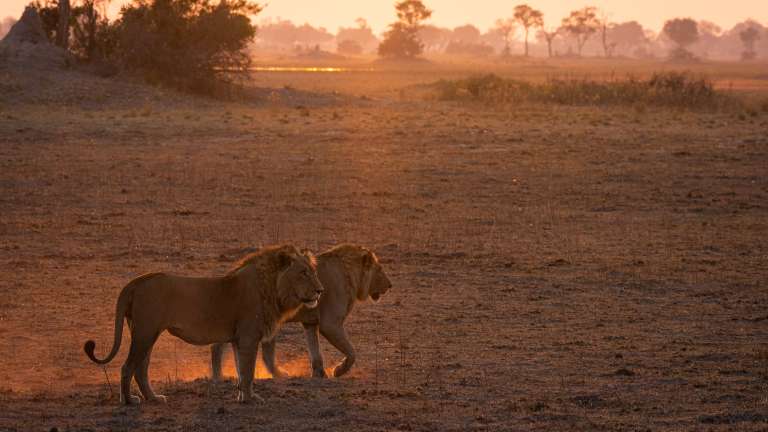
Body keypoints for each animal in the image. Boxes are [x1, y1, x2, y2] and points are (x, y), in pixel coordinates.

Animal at [84, 245, 323, 405]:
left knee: (141, 369)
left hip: (146, 333)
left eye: (313, 271)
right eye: (303, 273)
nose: (320, 290)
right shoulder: (248, 337)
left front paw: (243, 396)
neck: (273, 289)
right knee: (128, 367)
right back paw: (129, 401)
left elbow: (241, 370)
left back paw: (153, 398)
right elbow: (248, 370)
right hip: (145, 332)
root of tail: (137, 281)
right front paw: (251, 399)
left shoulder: (238, 339)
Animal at [211, 244, 392, 380]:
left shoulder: (310, 323)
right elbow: (351, 351)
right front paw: (338, 371)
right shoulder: (330, 323)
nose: (390, 285)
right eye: (380, 269)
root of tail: (232, 273)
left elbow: (315, 351)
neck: (351, 274)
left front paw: (320, 374)